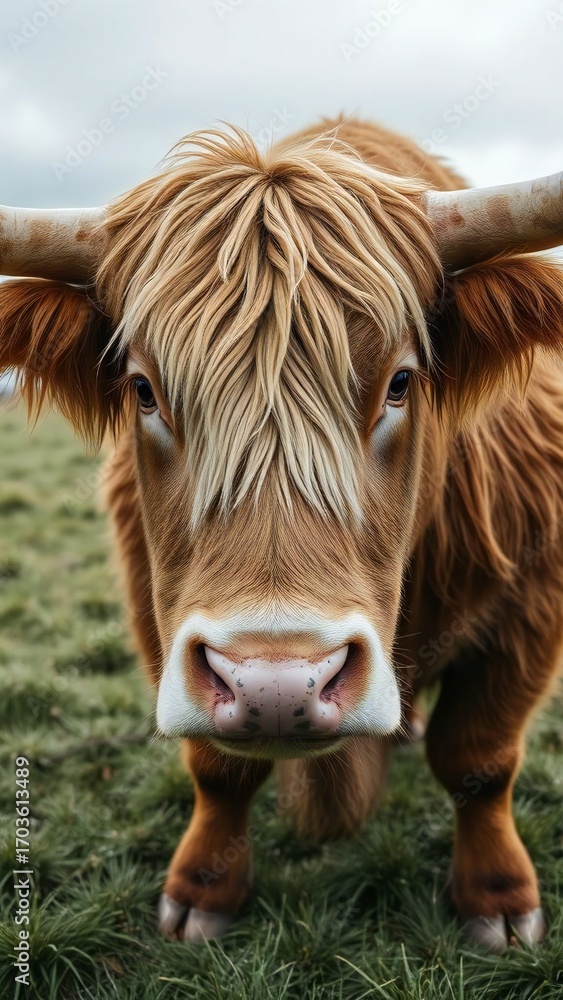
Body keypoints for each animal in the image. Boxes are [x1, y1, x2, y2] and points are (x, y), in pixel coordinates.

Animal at [1, 118, 562, 951]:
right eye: (143, 389)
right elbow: (218, 767)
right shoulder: (152, 604)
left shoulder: (529, 602)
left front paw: (496, 900)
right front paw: (203, 889)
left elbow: (478, 757)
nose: (273, 686)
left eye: (400, 382)